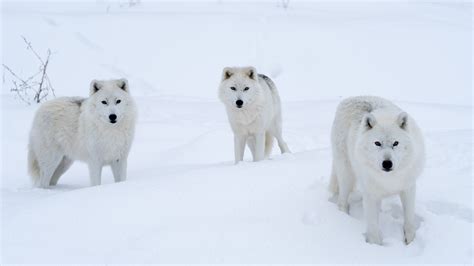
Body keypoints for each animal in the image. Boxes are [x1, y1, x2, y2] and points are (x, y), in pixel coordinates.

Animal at [330, 95, 426, 245]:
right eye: (377, 143)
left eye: (395, 143)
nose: (387, 163)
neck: (389, 179)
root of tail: (349, 98)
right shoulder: (371, 194)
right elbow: (373, 226)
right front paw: (376, 246)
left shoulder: (408, 188)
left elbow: (409, 219)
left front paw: (410, 241)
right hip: (347, 174)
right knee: (342, 200)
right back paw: (344, 217)